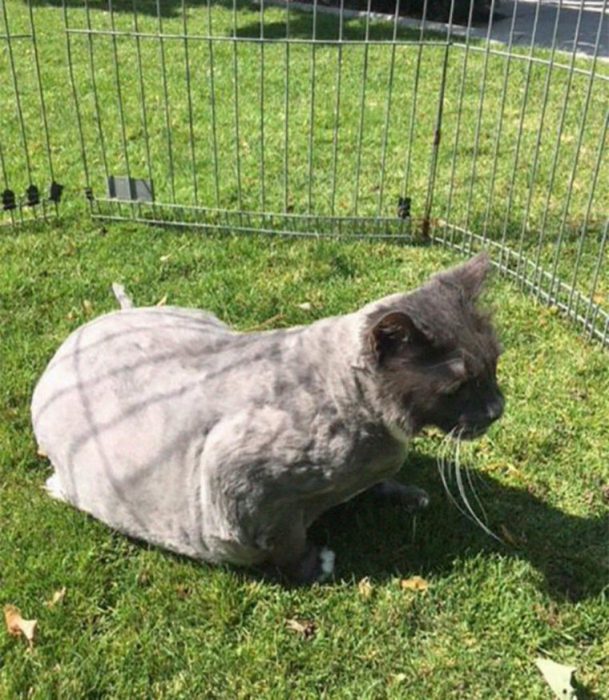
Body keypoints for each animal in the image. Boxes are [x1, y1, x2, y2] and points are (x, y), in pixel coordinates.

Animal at [29, 254, 504, 584]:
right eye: (458, 386)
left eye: (494, 365)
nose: (498, 408)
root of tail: (92, 325)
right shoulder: (239, 483)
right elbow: (286, 544)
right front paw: (317, 566)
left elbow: (379, 484)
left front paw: (406, 494)